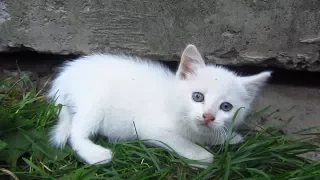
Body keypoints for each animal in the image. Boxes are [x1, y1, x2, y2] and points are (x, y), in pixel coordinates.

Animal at [48, 44, 272, 167]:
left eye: (226, 107)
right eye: (197, 96)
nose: (208, 116)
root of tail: (66, 73)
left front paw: (229, 137)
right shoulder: (147, 128)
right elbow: (178, 140)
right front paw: (201, 156)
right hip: (95, 100)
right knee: (75, 133)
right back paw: (96, 155)